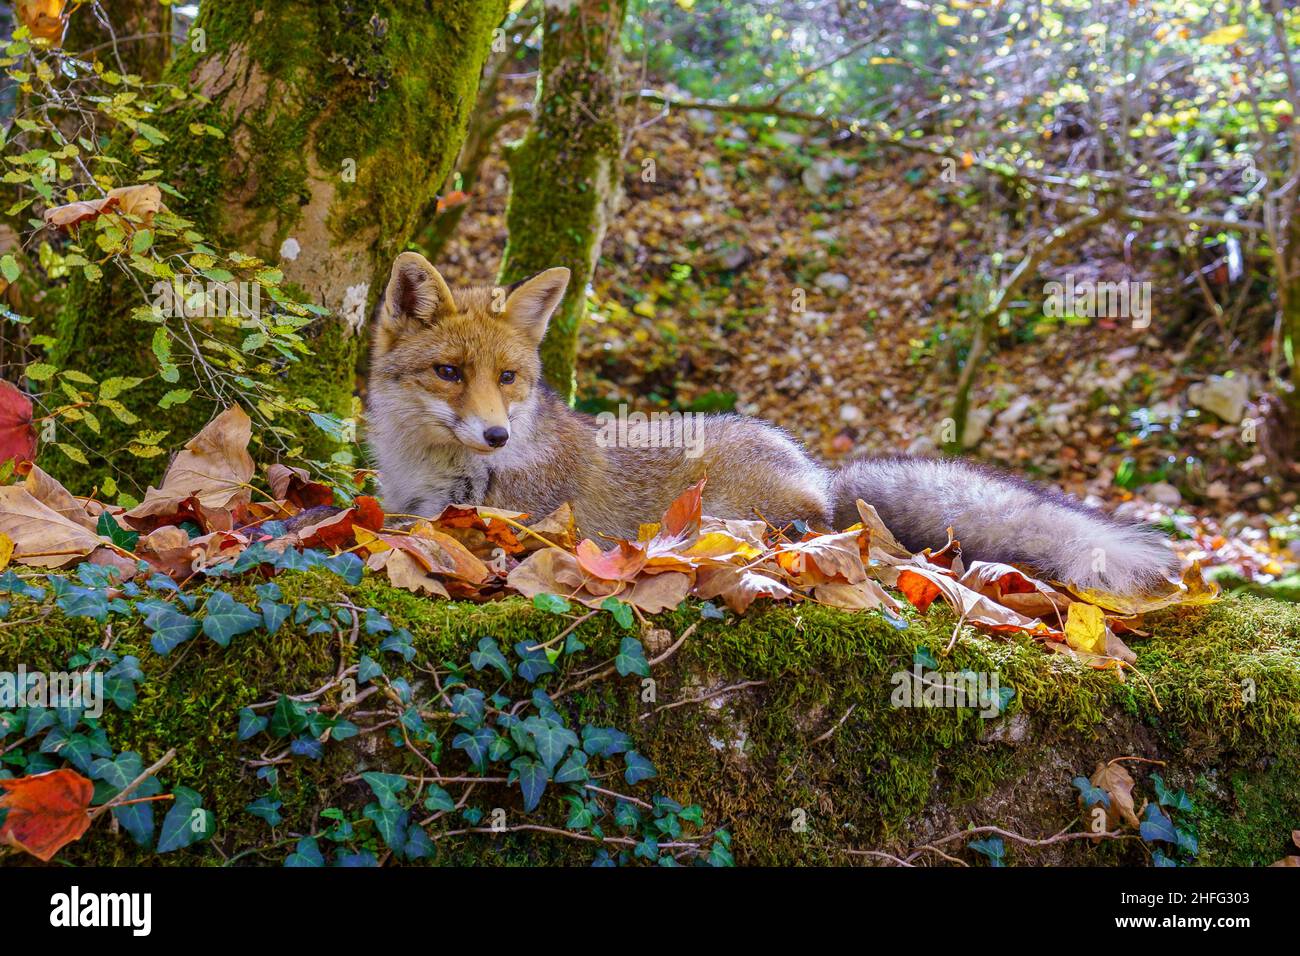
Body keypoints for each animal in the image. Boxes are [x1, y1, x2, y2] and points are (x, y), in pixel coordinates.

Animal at [366, 252, 1177, 595]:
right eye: (449, 373)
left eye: (508, 379)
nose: (496, 435)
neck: (425, 466)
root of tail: (822, 472)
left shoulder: (491, 517)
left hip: (726, 506)